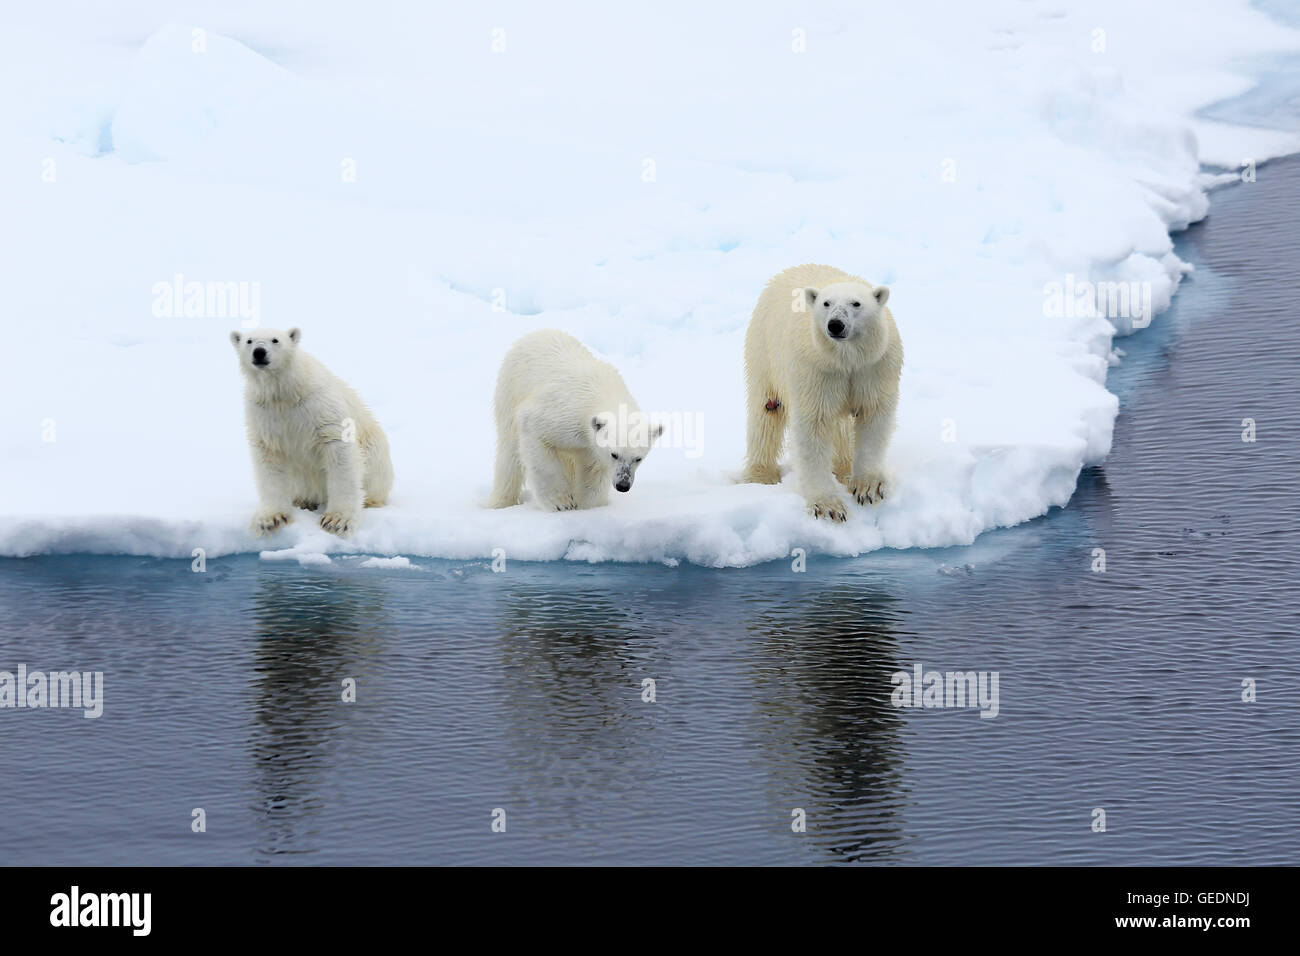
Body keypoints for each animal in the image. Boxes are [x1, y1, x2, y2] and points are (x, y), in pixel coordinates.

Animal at [230, 327, 393, 537]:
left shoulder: (319, 405)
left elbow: (340, 452)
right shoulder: (263, 414)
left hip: (375, 454)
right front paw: (270, 519)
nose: (259, 352)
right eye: (249, 341)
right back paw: (302, 501)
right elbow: (269, 459)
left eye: (275, 340)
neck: (284, 393)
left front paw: (337, 520)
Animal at [489, 329, 663, 511]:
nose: (623, 485)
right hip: (510, 391)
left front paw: (587, 505)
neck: (603, 392)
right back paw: (501, 502)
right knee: (509, 454)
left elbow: (592, 472)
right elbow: (536, 440)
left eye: (638, 458)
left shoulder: (590, 446)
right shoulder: (561, 413)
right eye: (614, 454)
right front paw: (561, 503)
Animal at [738, 264, 902, 522]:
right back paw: (761, 475)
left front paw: (867, 488)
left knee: (842, 429)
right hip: (763, 349)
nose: (835, 324)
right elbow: (814, 424)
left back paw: (844, 470)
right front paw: (828, 506)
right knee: (766, 410)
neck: (846, 359)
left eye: (856, 303)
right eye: (826, 303)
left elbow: (873, 416)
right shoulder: (816, 370)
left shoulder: (874, 367)